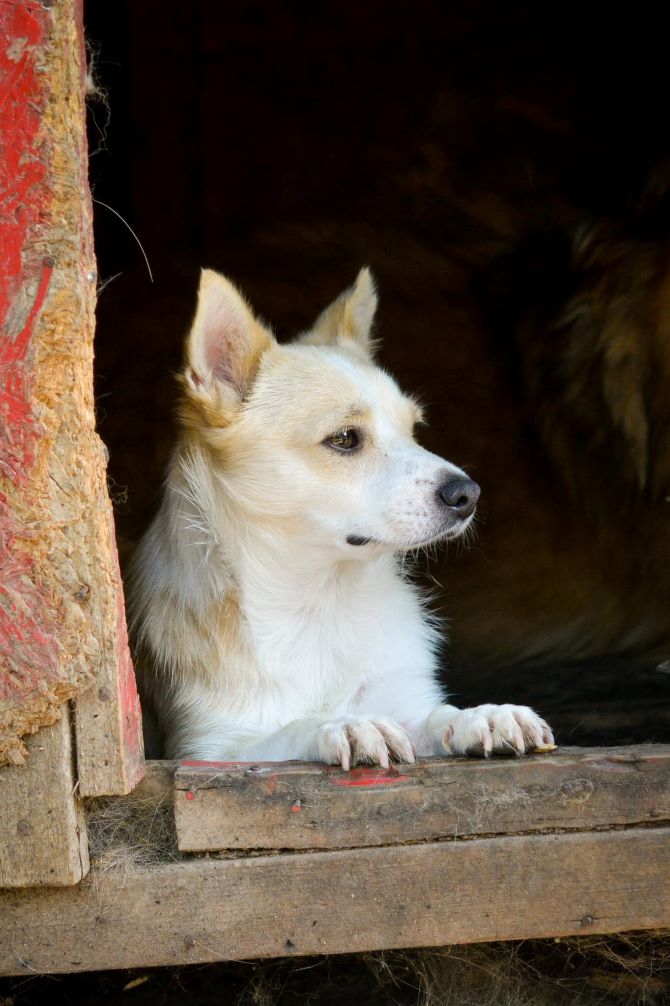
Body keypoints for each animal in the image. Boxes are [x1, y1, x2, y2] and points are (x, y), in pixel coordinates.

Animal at [127, 267, 551, 760]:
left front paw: (484, 714)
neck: (322, 599)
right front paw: (342, 724)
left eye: (414, 430)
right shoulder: (209, 750)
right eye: (345, 439)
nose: (469, 494)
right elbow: (289, 730)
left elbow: (435, 716)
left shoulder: (403, 701)